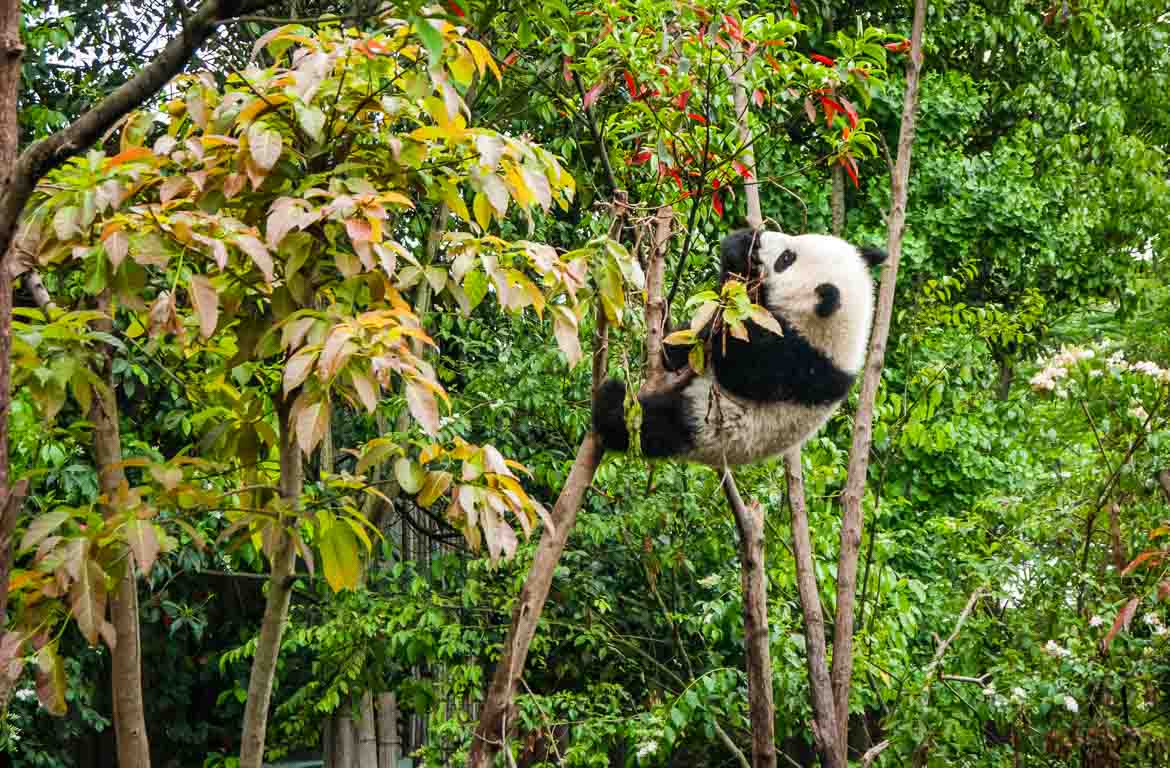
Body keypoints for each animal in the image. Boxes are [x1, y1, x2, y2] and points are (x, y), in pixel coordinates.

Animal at [594, 228, 884, 468]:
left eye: (786, 259)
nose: (762, 238)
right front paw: (740, 246)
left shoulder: (799, 364)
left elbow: (738, 367)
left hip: (706, 425)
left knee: (652, 425)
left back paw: (611, 402)